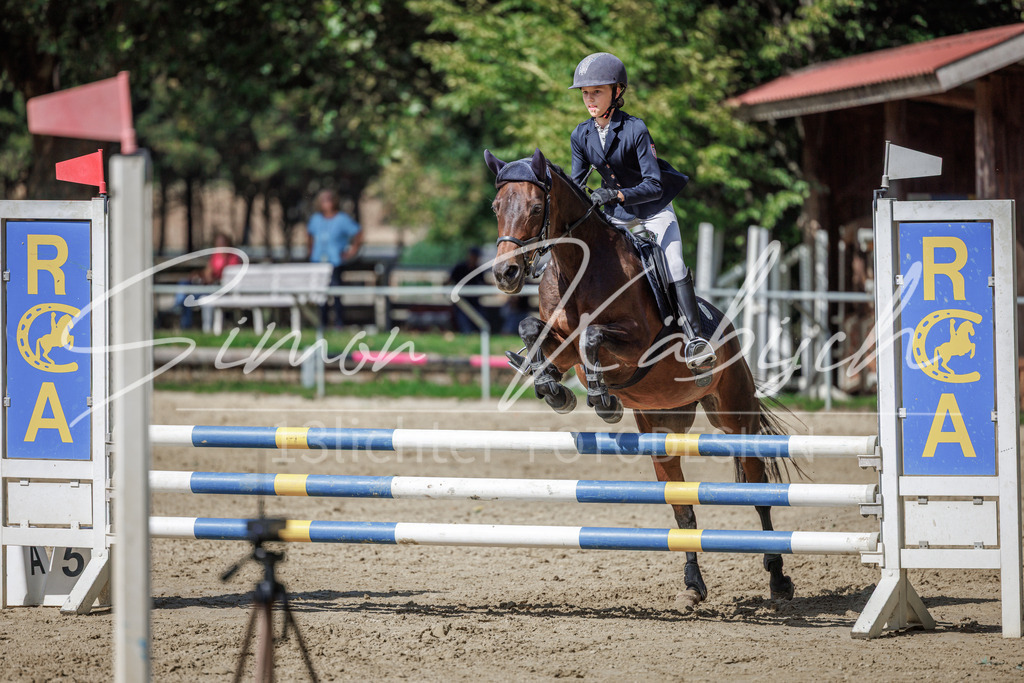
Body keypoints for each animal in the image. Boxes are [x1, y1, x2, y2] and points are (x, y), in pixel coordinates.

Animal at [485, 148, 795, 607]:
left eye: (537, 208)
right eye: (496, 207)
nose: (506, 275)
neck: (578, 266)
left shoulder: (635, 345)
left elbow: (593, 336)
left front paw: (603, 401)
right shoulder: (563, 344)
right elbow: (532, 330)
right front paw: (554, 390)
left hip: (734, 417)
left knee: (758, 497)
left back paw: (777, 578)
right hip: (663, 431)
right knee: (682, 507)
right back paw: (693, 585)